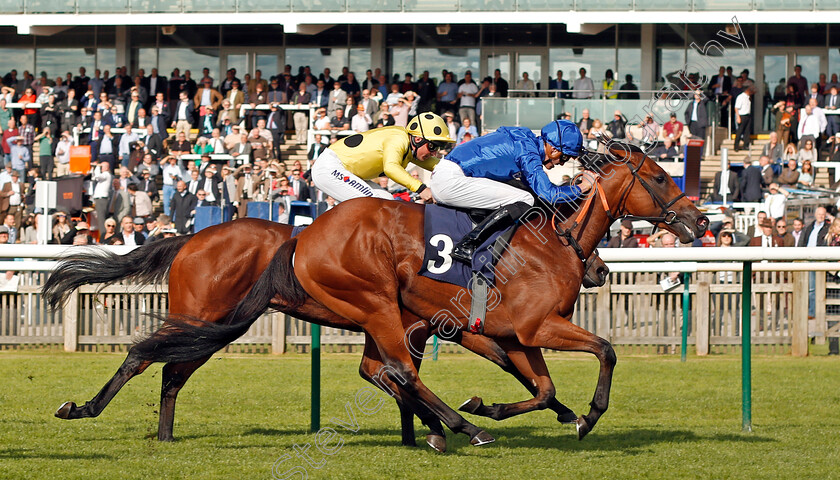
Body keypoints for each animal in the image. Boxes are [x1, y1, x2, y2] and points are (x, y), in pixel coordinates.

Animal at [44, 218, 604, 450]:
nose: (597, 268)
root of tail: (188, 238)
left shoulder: (415, 327)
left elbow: (393, 374)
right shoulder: (446, 327)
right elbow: (407, 374)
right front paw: (449, 425)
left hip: (207, 325)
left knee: (170, 372)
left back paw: (161, 434)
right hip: (203, 317)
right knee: (145, 357)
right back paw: (84, 408)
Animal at [184, 142, 708, 446]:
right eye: (660, 177)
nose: (701, 220)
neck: (554, 240)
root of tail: (306, 237)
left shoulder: (517, 335)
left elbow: (543, 388)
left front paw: (495, 407)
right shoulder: (537, 326)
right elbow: (605, 350)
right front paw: (588, 416)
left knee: (383, 370)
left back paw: (450, 426)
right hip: (376, 304)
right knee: (397, 371)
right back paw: (460, 430)